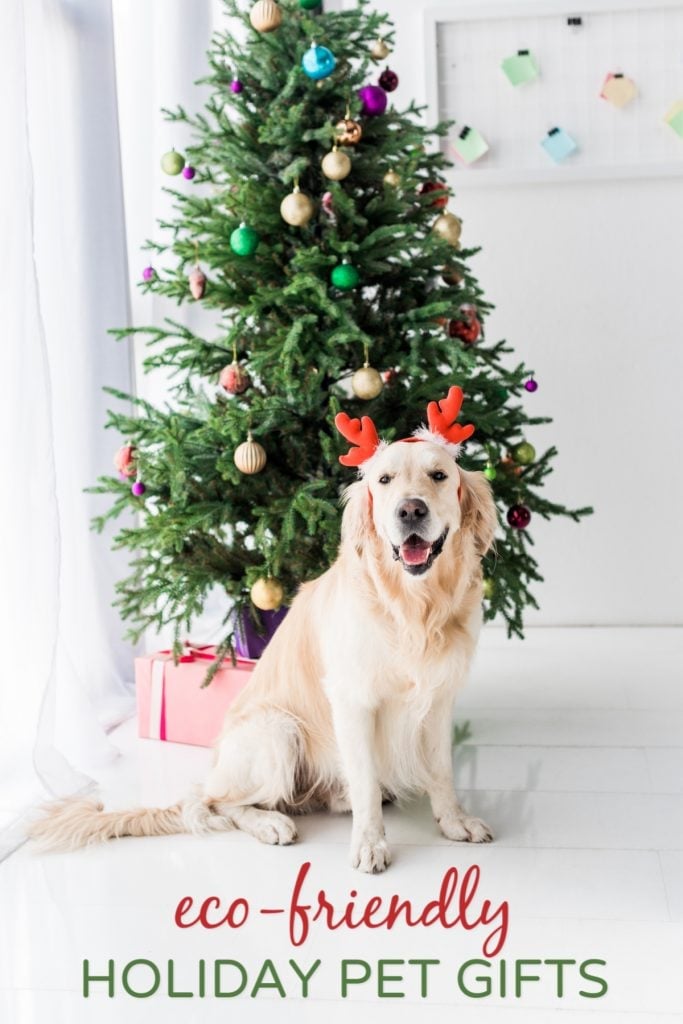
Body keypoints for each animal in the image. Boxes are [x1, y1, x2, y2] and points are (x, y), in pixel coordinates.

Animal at [29, 385, 497, 872]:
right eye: (384, 481)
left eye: (439, 475)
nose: (410, 510)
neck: (413, 607)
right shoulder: (353, 701)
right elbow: (366, 782)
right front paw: (370, 843)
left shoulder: (439, 697)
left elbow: (441, 771)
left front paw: (455, 821)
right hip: (277, 730)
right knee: (212, 802)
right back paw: (271, 823)